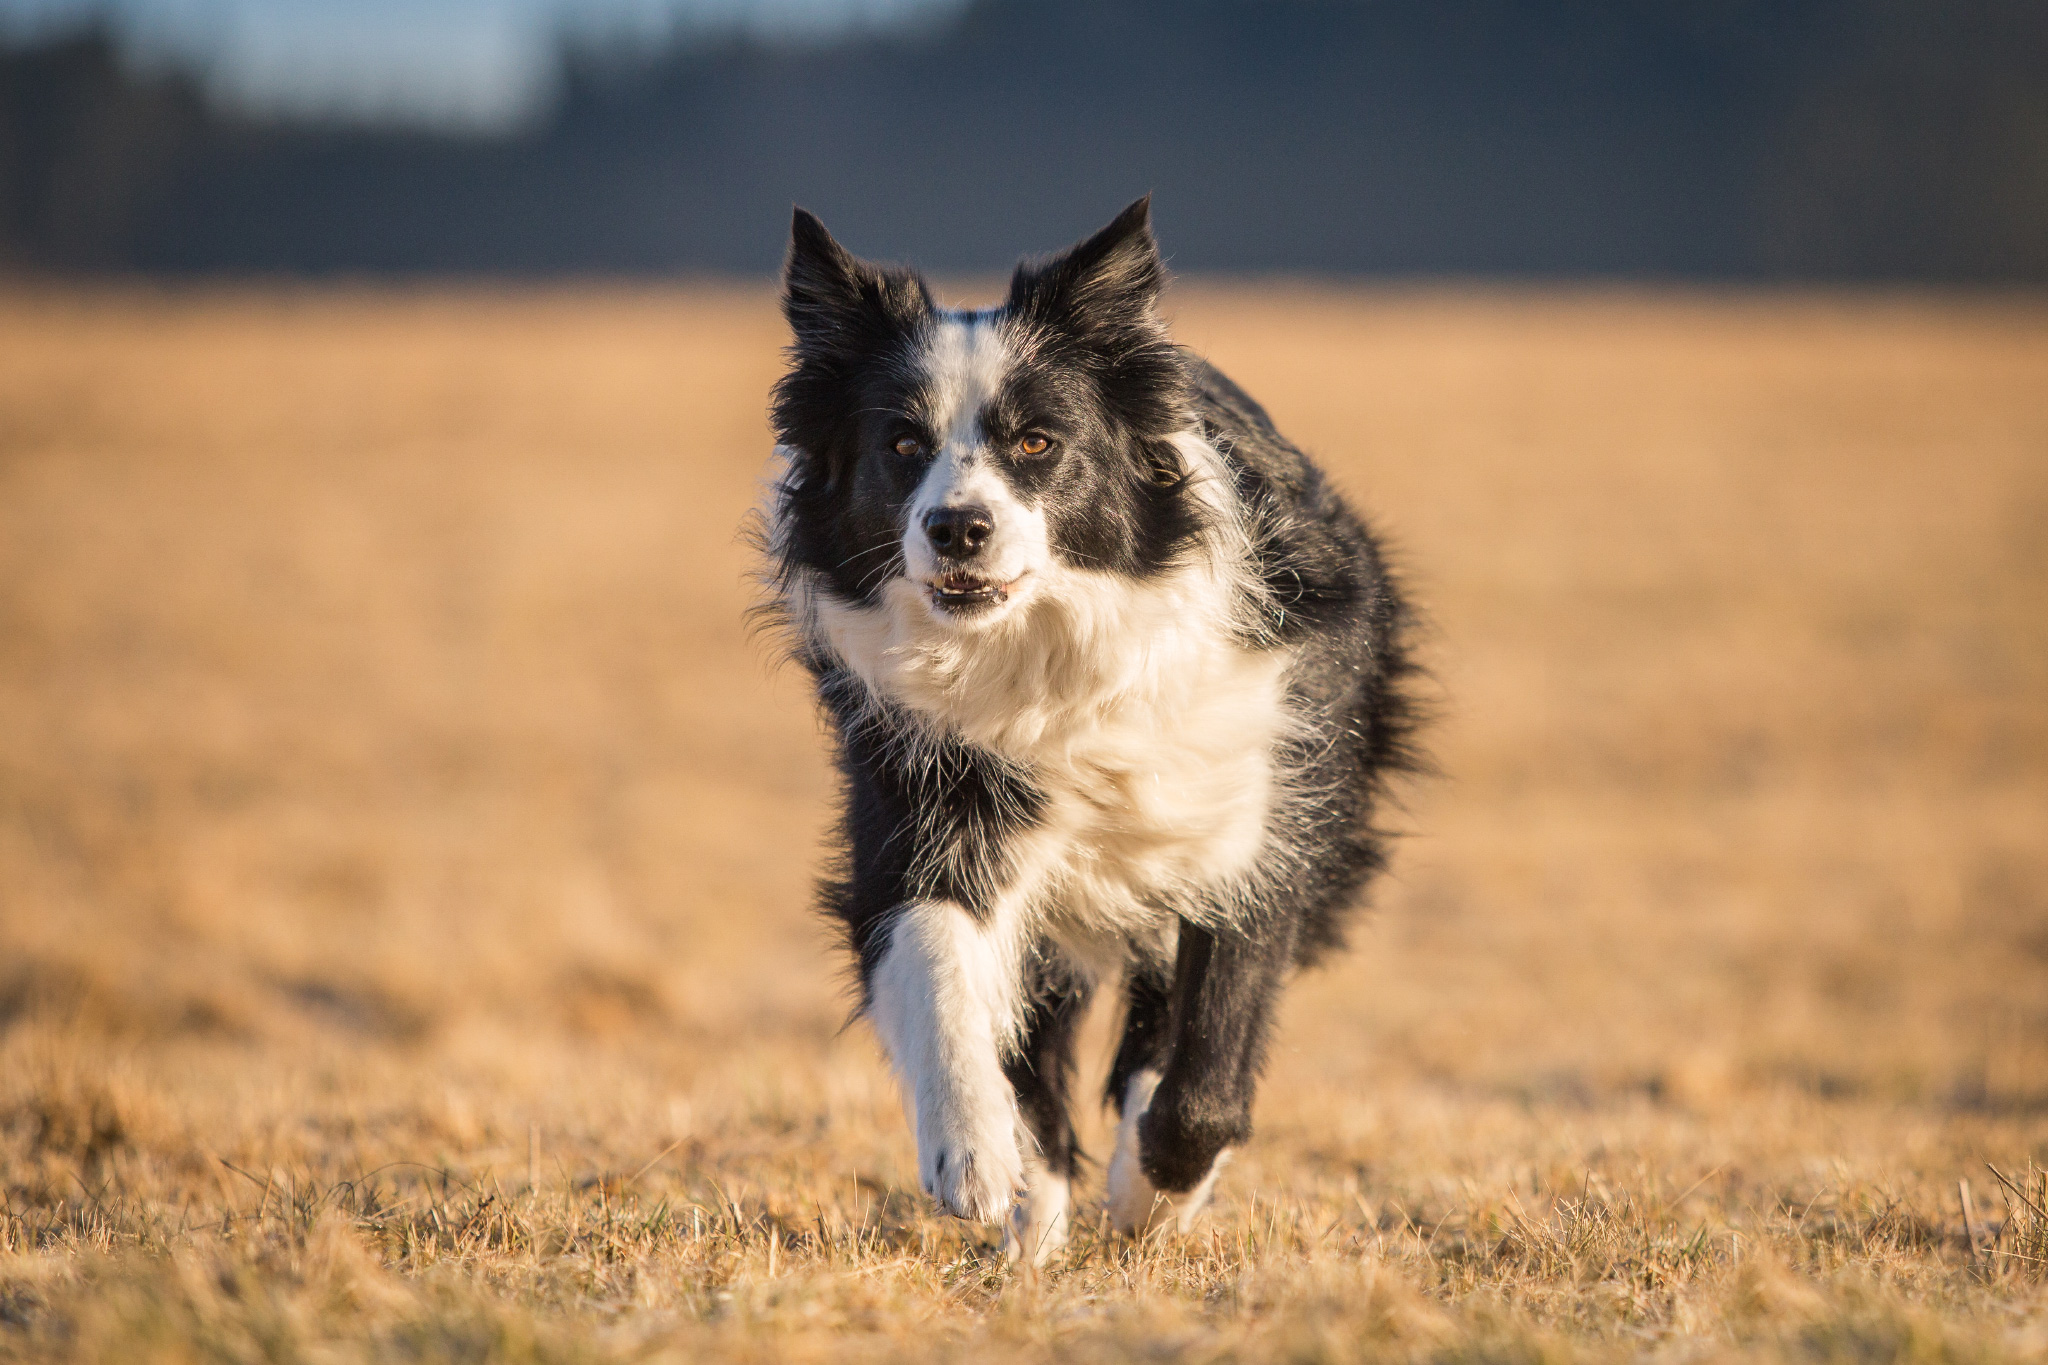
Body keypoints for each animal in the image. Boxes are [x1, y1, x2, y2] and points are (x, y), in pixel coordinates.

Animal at [761, 197, 1417, 1268]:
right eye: (901, 444)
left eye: (1036, 443)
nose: (957, 527)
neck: (1052, 663)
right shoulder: (921, 788)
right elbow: (935, 956)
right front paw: (981, 1161)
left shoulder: (1256, 811)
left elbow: (1210, 1061)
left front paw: (1152, 1196)